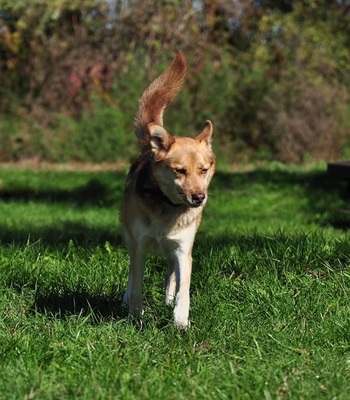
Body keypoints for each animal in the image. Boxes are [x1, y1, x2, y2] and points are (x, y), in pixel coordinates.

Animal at [120, 50, 215, 328]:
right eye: (180, 171)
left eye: (203, 170)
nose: (199, 197)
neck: (166, 207)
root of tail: (149, 147)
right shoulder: (139, 246)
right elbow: (137, 284)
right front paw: (136, 318)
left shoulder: (183, 249)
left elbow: (184, 287)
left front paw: (180, 320)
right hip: (128, 237)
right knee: (131, 275)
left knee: (172, 273)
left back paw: (168, 300)